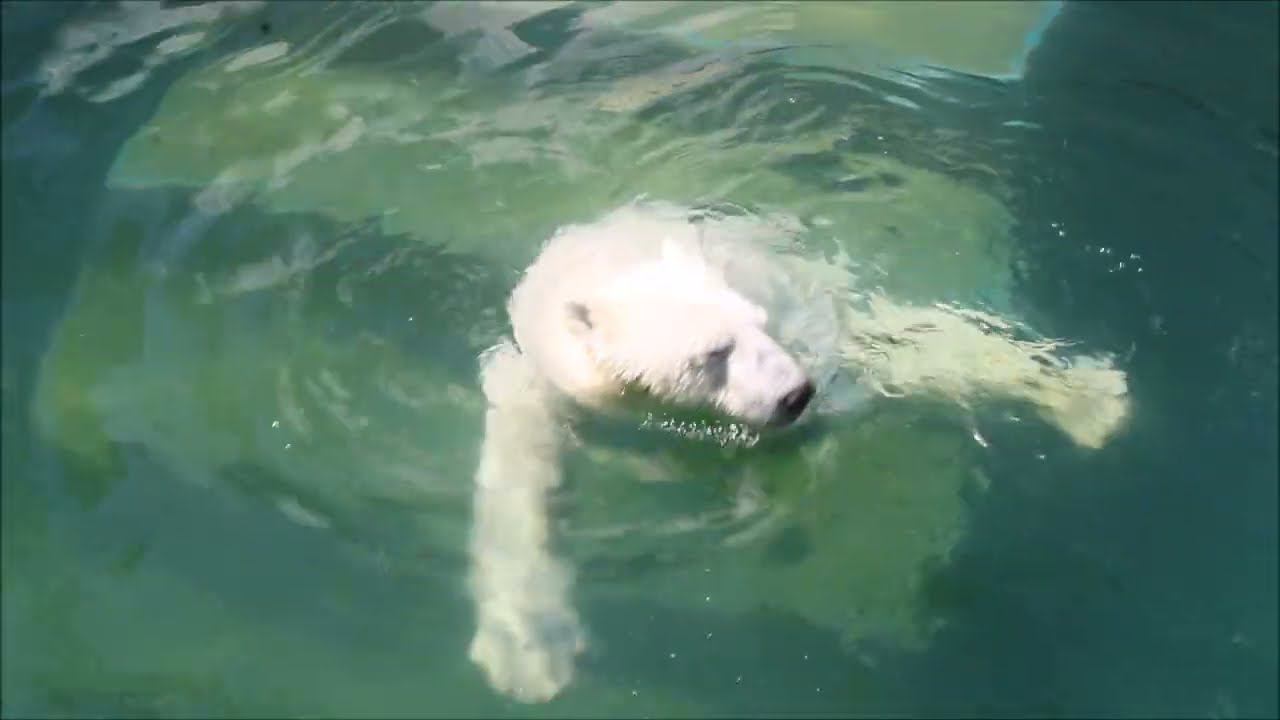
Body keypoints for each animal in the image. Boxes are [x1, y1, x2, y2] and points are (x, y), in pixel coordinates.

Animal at [466, 200, 1131, 703]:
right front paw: (530, 652)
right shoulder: (546, 380)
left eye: (759, 325)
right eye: (712, 352)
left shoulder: (803, 325)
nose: (796, 393)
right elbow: (518, 481)